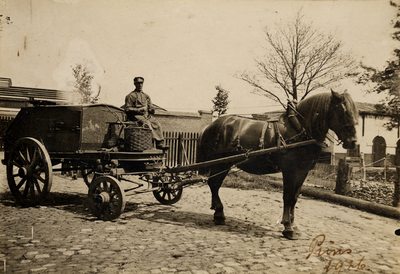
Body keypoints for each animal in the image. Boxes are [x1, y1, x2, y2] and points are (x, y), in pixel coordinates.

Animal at [198, 90, 360, 240]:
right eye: (344, 112)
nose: (353, 142)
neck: (300, 130)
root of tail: (211, 125)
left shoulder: (303, 171)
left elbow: (295, 197)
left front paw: (293, 225)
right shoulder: (290, 170)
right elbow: (288, 197)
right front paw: (288, 228)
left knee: (214, 184)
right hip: (222, 163)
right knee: (214, 184)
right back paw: (219, 214)